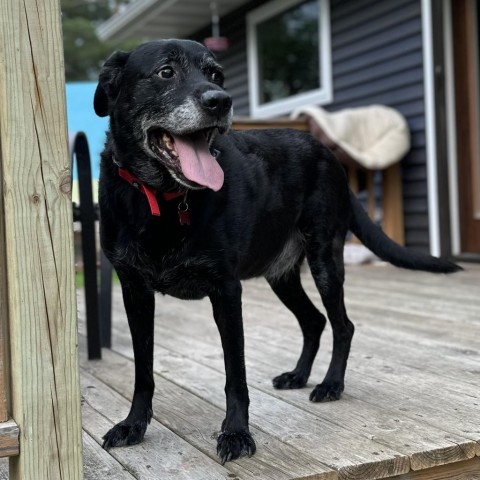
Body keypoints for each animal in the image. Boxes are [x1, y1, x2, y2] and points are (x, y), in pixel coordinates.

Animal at [94, 39, 462, 464]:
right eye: (166, 72)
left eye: (216, 74)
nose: (221, 101)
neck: (163, 199)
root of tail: (328, 155)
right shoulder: (134, 292)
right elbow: (143, 371)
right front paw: (133, 425)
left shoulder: (226, 292)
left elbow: (235, 374)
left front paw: (236, 433)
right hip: (282, 276)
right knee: (314, 321)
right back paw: (299, 375)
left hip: (325, 262)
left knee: (343, 325)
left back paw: (330, 384)